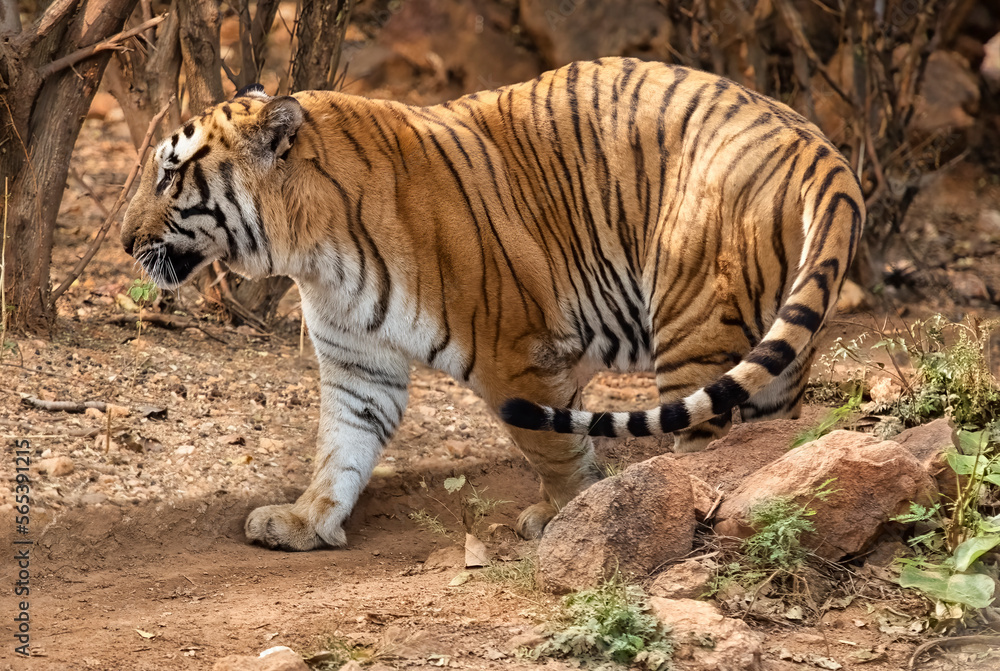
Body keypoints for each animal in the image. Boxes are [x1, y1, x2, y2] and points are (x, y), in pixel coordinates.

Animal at [120, 57, 864, 551]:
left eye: (169, 175)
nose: (124, 241)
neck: (309, 250)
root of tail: (819, 148)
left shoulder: (517, 356)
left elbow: (554, 447)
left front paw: (570, 516)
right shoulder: (360, 362)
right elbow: (342, 445)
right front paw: (307, 520)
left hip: (693, 326)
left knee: (702, 446)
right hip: (774, 360)